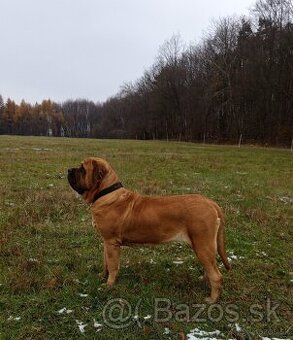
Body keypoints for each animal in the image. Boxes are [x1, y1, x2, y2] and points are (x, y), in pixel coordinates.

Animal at [67, 157, 229, 302]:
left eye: (82, 169)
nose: (68, 170)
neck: (106, 193)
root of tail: (211, 203)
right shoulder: (106, 243)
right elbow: (105, 262)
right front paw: (102, 276)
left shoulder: (111, 243)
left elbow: (112, 265)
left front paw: (109, 285)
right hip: (203, 247)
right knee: (211, 268)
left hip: (203, 245)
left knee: (217, 275)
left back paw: (212, 299)